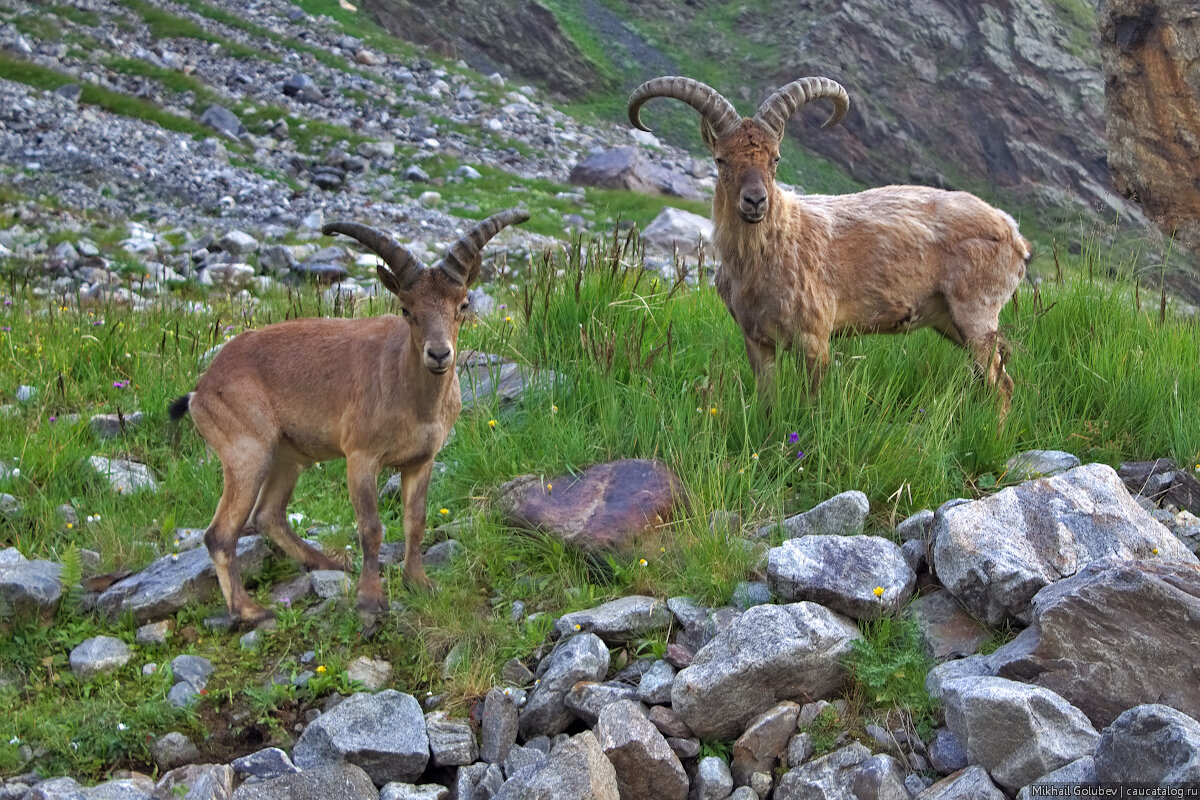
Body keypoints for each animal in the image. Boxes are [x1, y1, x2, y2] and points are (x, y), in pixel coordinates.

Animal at [171, 209, 528, 628]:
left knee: (268, 515)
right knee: (220, 533)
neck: (410, 396)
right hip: (247, 452)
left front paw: (419, 583)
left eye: (463, 304)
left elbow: (416, 519)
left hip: (286, 457)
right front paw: (370, 601)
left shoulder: (420, 460)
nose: (439, 354)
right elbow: (371, 527)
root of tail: (201, 391)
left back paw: (326, 563)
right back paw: (250, 610)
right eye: (407, 309)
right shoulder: (361, 457)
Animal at [628, 75, 1032, 417]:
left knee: (1002, 384)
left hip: (976, 314)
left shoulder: (814, 337)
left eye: (775, 158)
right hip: (949, 321)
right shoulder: (756, 340)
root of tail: (1014, 233)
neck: (772, 250)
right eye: (720, 159)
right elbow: (767, 400)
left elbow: (813, 403)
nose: (755, 201)